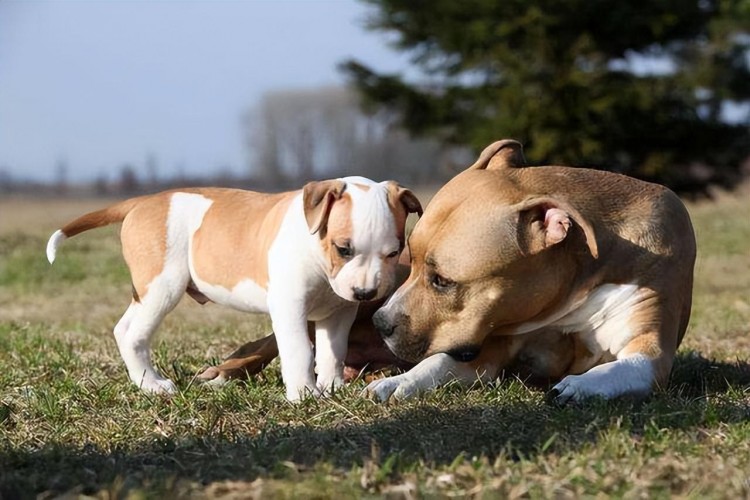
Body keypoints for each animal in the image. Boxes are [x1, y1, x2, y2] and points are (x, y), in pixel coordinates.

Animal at [47, 178, 424, 400]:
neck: (315, 249)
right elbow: (300, 351)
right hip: (162, 287)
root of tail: (143, 201)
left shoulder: (339, 312)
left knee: (123, 327)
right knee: (132, 334)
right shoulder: (289, 308)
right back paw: (152, 384)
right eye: (343, 249)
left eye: (394, 252)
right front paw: (304, 394)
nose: (366, 293)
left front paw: (330, 387)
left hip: (148, 291)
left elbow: (333, 351)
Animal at [368, 140, 700, 402]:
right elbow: (436, 363)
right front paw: (397, 382)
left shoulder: (651, 352)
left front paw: (579, 386)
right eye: (411, 261)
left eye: (442, 281)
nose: (380, 321)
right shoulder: (491, 346)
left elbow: (621, 367)